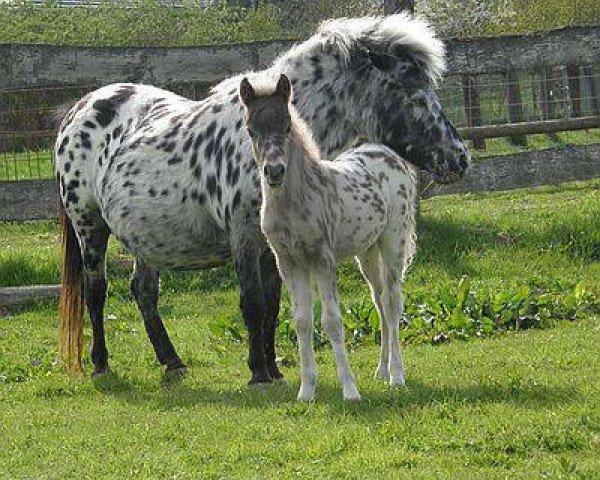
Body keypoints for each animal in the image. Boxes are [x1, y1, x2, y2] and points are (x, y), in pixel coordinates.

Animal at [55, 13, 468, 384]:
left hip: (146, 238)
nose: (460, 158)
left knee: (144, 292)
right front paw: (257, 372)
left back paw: (173, 362)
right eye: (415, 96)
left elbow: (272, 303)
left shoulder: (275, 246)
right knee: (96, 291)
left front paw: (274, 368)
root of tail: (79, 108)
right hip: (89, 226)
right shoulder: (244, 237)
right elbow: (252, 302)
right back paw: (101, 364)